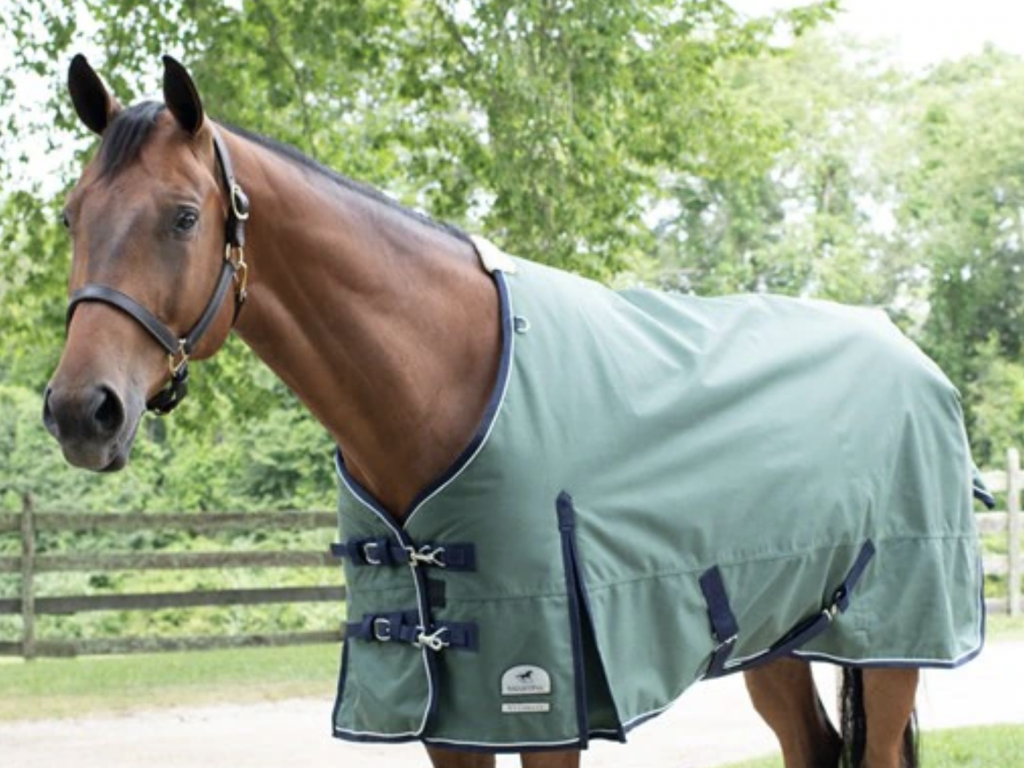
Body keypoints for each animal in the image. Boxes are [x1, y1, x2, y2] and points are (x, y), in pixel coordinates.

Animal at [42, 55, 987, 768]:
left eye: (183, 217)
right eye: (71, 215)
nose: (81, 412)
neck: (439, 379)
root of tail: (911, 354)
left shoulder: (538, 697)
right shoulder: (443, 715)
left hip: (892, 640)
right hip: (776, 640)